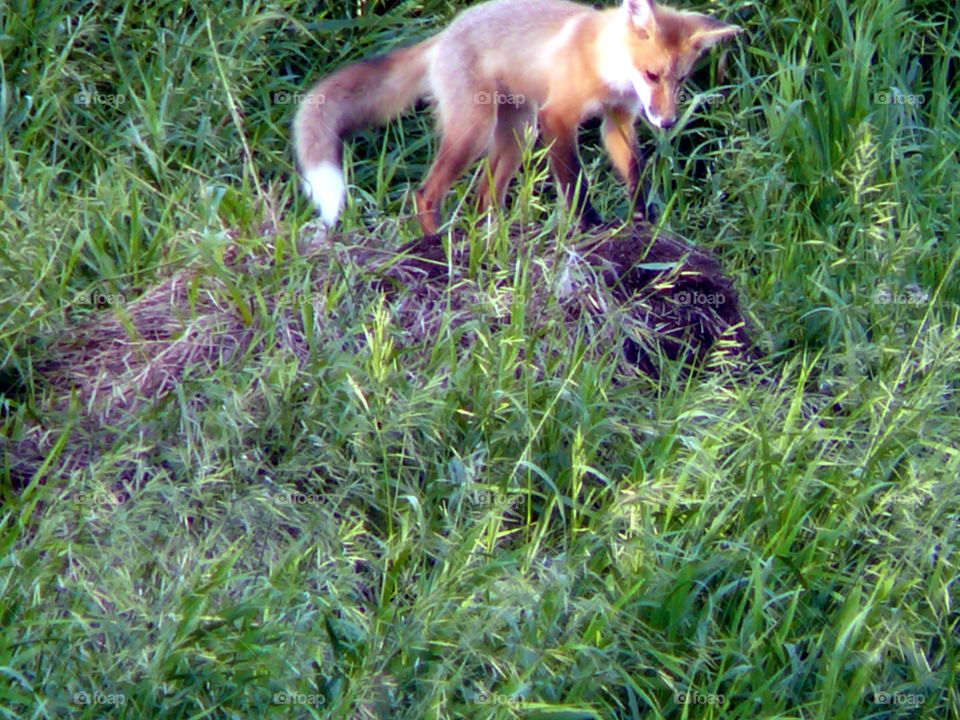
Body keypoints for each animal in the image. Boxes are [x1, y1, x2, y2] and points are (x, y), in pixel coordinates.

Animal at [293, 0, 742, 235]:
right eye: (651, 75)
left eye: (680, 79)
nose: (665, 122)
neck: (606, 65)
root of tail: (446, 34)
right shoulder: (556, 116)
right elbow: (574, 181)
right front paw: (590, 225)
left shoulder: (618, 120)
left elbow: (636, 172)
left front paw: (643, 220)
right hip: (477, 130)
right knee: (426, 193)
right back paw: (434, 244)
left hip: (517, 135)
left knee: (483, 198)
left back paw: (493, 236)